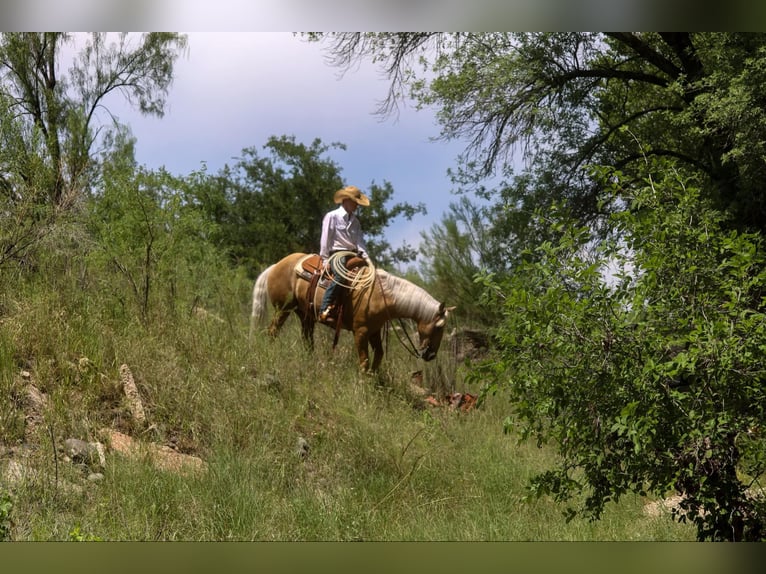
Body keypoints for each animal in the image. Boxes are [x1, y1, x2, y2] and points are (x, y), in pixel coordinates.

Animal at [252, 253, 456, 374]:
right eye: (439, 327)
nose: (431, 355)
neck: (379, 295)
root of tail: (276, 265)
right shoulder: (361, 332)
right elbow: (364, 361)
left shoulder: (374, 332)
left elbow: (379, 355)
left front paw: (373, 378)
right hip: (283, 309)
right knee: (273, 331)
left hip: (305, 315)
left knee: (307, 340)